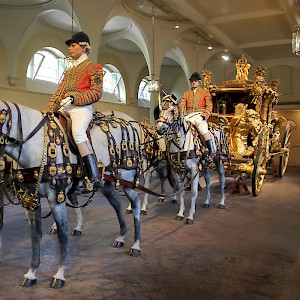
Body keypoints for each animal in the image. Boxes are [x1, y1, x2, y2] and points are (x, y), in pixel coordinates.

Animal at [0, 101, 144, 288]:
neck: (35, 144)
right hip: (106, 184)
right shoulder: (29, 199)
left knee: (135, 206)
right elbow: (35, 236)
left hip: (127, 180)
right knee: (118, 206)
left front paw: (59, 274)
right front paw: (31, 273)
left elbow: (62, 235)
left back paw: (136, 245)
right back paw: (121, 237)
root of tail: (130, 123)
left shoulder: (56, 198)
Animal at [156, 95, 226, 224]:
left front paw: (190, 216)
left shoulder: (194, 170)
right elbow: (181, 191)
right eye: (160, 109)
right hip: (204, 165)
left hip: (220, 162)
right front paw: (180, 213)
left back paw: (222, 202)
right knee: (208, 181)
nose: (160, 128)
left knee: (222, 181)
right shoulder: (176, 171)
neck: (181, 142)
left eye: (172, 110)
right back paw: (207, 202)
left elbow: (194, 192)